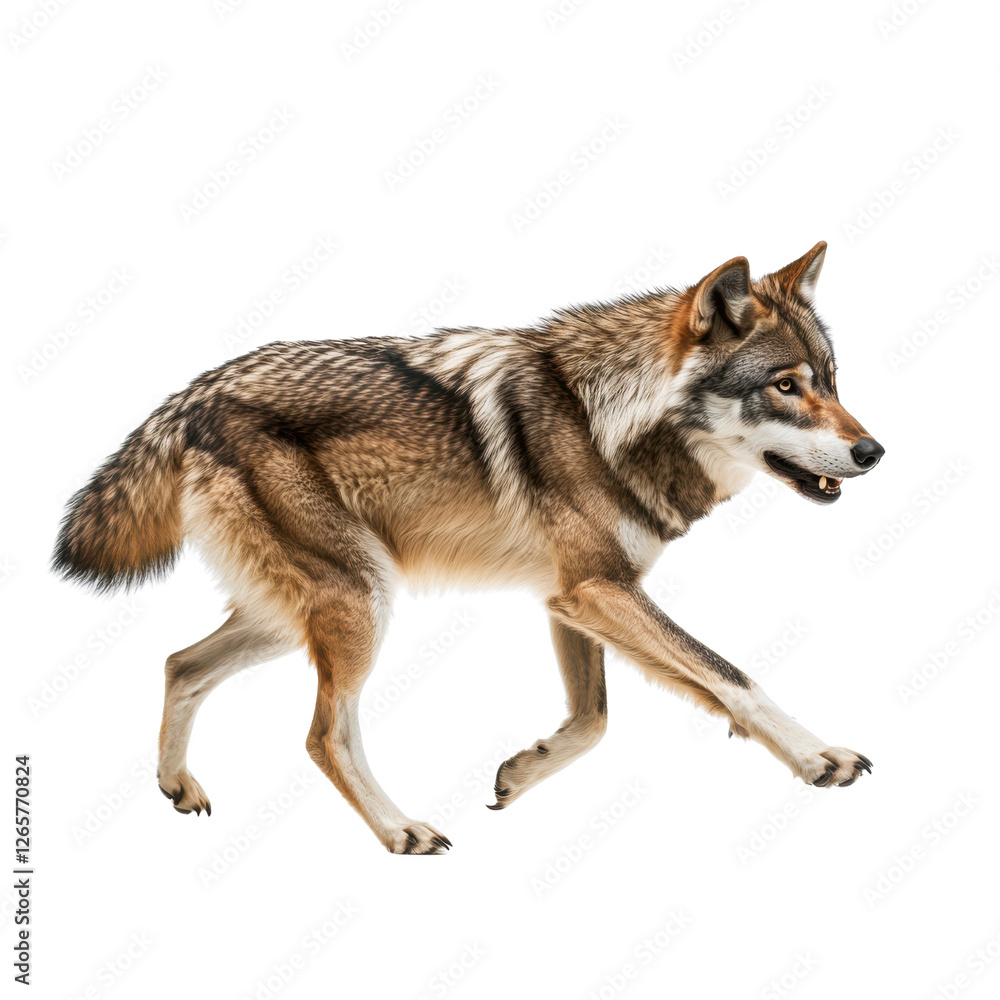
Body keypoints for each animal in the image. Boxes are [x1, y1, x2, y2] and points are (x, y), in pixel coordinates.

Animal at [54, 241, 883, 854]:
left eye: (833, 380)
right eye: (785, 386)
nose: (874, 451)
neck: (605, 420)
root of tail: (191, 397)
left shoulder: (574, 596)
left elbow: (597, 718)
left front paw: (520, 772)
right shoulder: (598, 590)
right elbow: (730, 675)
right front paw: (818, 757)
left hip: (298, 614)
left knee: (179, 664)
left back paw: (177, 787)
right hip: (360, 602)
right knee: (323, 735)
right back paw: (400, 830)